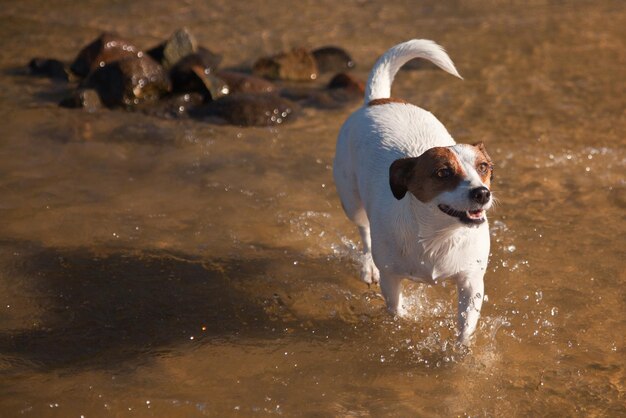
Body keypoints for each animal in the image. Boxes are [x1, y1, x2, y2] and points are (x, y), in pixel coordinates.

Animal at [332, 40, 492, 344]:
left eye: (484, 167)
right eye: (443, 173)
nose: (482, 193)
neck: (438, 236)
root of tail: (377, 101)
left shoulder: (471, 281)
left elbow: (466, 327)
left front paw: (460, 352)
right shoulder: (391, 278)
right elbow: (396, 311)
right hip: (351, 201)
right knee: (364, 231)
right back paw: (368, 265)